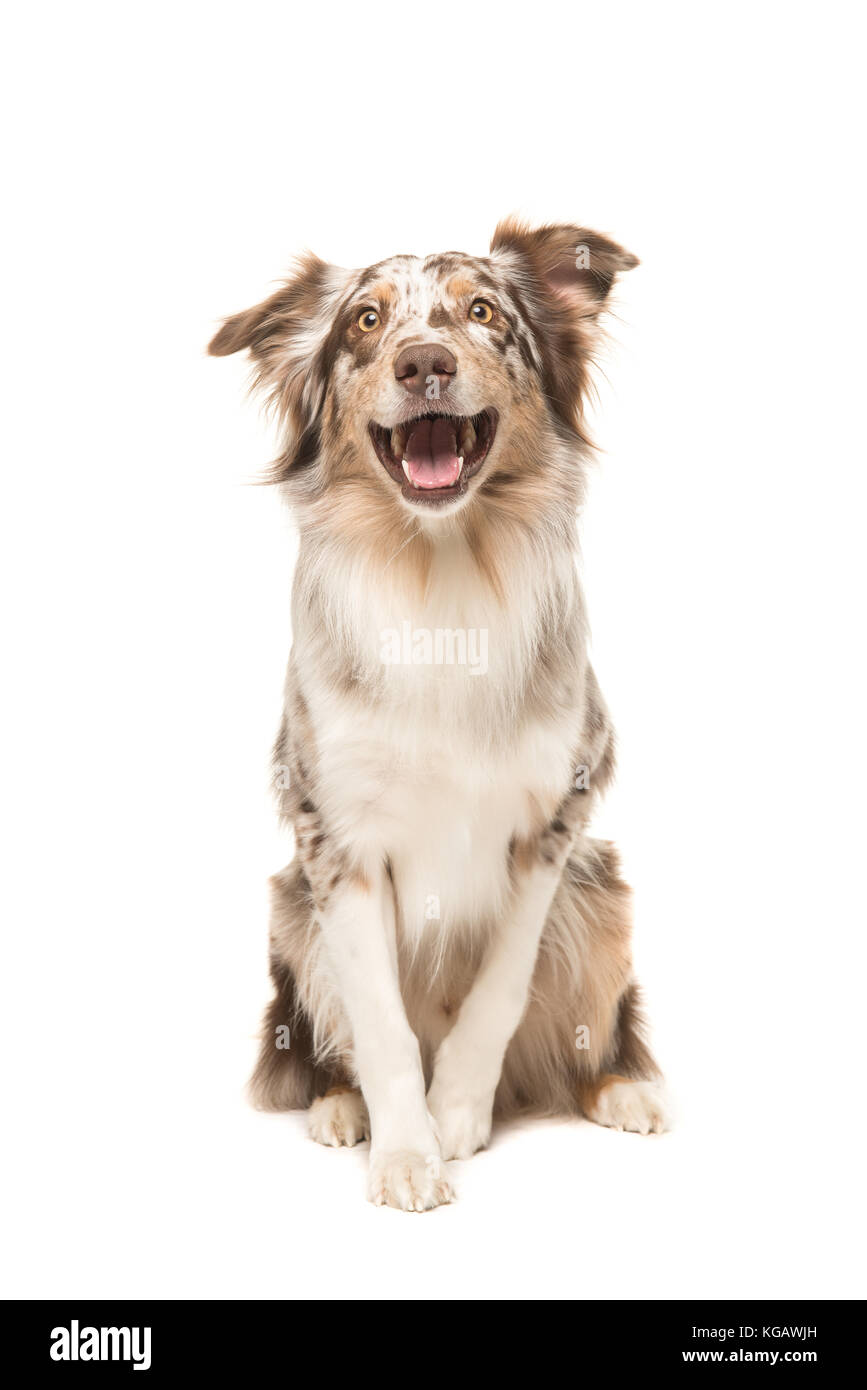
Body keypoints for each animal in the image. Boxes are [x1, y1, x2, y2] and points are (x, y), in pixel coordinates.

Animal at [208, 214, 669, 1206]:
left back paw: (622, 1090)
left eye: (483, 312)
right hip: (288, 908)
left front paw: (455, 1112)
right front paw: (406, 1154)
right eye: (367, 321)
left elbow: (499, 987)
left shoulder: (556, 818)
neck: (442, 568)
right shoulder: (334, 840)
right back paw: (339, 1108)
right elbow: (380, 1022)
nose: (423, 361)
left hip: (602, 890)